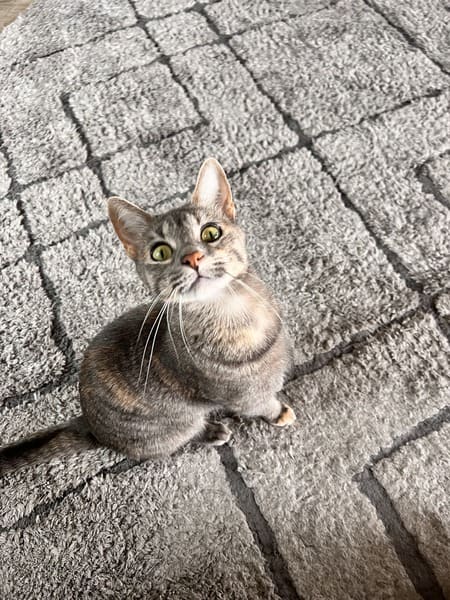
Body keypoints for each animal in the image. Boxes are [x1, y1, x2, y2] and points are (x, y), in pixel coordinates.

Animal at [0, 157, 296, 476]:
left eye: (210, 233)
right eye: (161, 252)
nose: (192, 257)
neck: (232, 311)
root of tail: (91, 426)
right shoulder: (244, 396)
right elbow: (263, 405)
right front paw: (279, 412)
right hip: (178, 425)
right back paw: (212, 431)